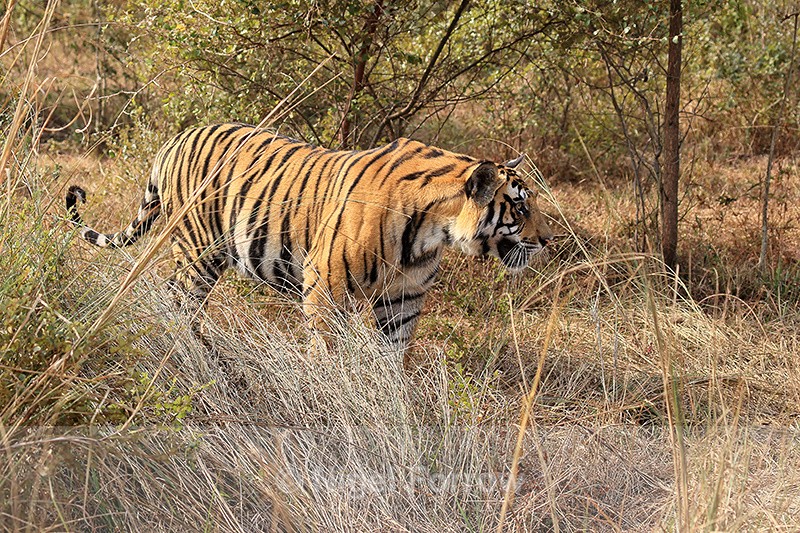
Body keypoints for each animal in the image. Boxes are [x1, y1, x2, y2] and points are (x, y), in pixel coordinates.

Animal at [66, 123, 554, 350]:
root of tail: (177, 136)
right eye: (521, 208)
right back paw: (190, 349)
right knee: (178, 298)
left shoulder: (405, 297)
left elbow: (394, 356)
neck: (434, 230)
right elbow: (326, 352)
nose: (548, 240)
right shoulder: (325, 287)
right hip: (197, 250)